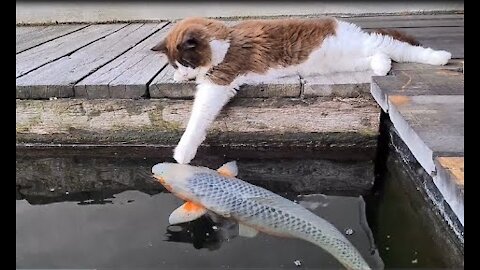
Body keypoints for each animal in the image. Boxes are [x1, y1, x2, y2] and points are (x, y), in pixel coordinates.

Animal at [152, 17, 452, 165]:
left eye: (186, 61)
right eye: (176, 64)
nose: (183, 74)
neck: (226, 41)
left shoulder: (219, 81)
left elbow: (198, 117)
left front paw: (183, 153)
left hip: (361, 45)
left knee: (398, 47)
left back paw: (441, 57)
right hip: (345, 59)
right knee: (381, 55)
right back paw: (382, 64)